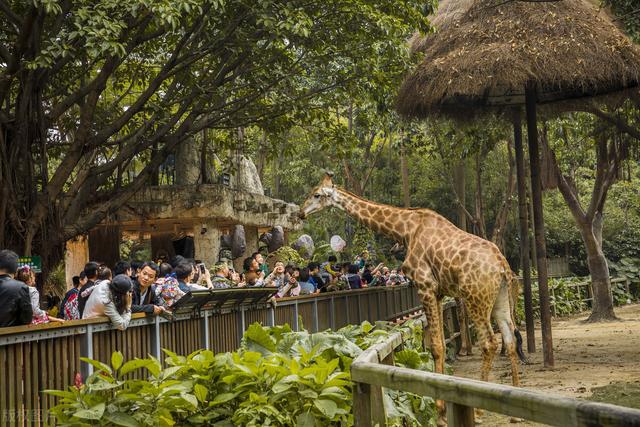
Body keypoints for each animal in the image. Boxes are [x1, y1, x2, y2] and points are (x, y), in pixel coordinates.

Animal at [300, 173, 524, 422]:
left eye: (316, 194)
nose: (300, 212)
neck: (405, 229)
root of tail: (502, 266)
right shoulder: (438, 292)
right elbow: (440, 344)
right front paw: (441, 406)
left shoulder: (425, 285)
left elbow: (435, 346)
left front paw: (441, 412)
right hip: (499, 300)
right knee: (509, 340)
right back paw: (515, 410)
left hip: (476, 298)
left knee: (489, 342)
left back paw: (478, 412)